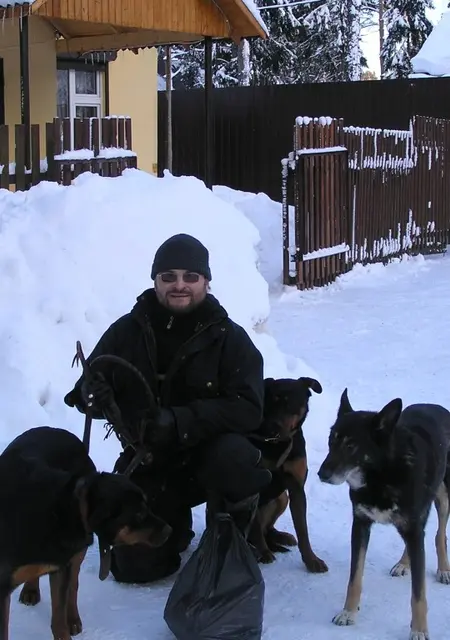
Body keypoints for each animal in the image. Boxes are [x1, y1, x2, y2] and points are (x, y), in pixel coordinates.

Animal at [0, 426, 171, 640]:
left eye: (148, 505)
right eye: (139, 514)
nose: (169, 530)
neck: (60, 509)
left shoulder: (61, 566)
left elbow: (59, 619)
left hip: (76, 553)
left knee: (73, 586)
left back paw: (72, 619)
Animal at [248, 376, 328, 573]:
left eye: (290, 403)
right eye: (269, 402)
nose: (273, 428)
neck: (277, 444)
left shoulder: (296, 487)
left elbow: (303, 530)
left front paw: (311, 560)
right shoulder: (255, 482)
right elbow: (254, 525)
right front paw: (264, 553)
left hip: (282, 497)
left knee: (267, 528)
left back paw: (281, 537)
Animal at [318, 389, 450, 640]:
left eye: (351, 446)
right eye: (331, 441)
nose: (321, 474)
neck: (382, 475)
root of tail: (438, 407)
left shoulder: (413, 527)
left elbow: (418, 594)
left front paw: (419, 630)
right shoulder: (360, 525)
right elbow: (354, 578)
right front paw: (348, 612)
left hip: (442, 497)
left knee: (440, 533)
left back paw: (443, 569)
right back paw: (404, 563)